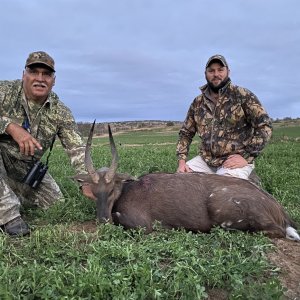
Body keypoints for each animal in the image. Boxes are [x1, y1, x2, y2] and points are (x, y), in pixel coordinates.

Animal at [73, 122, 300, 241]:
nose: (102, 220)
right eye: (94, 192)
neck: (129, 189)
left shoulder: (142, 224)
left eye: (112, 189)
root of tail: (280, 210)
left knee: (277, 232)